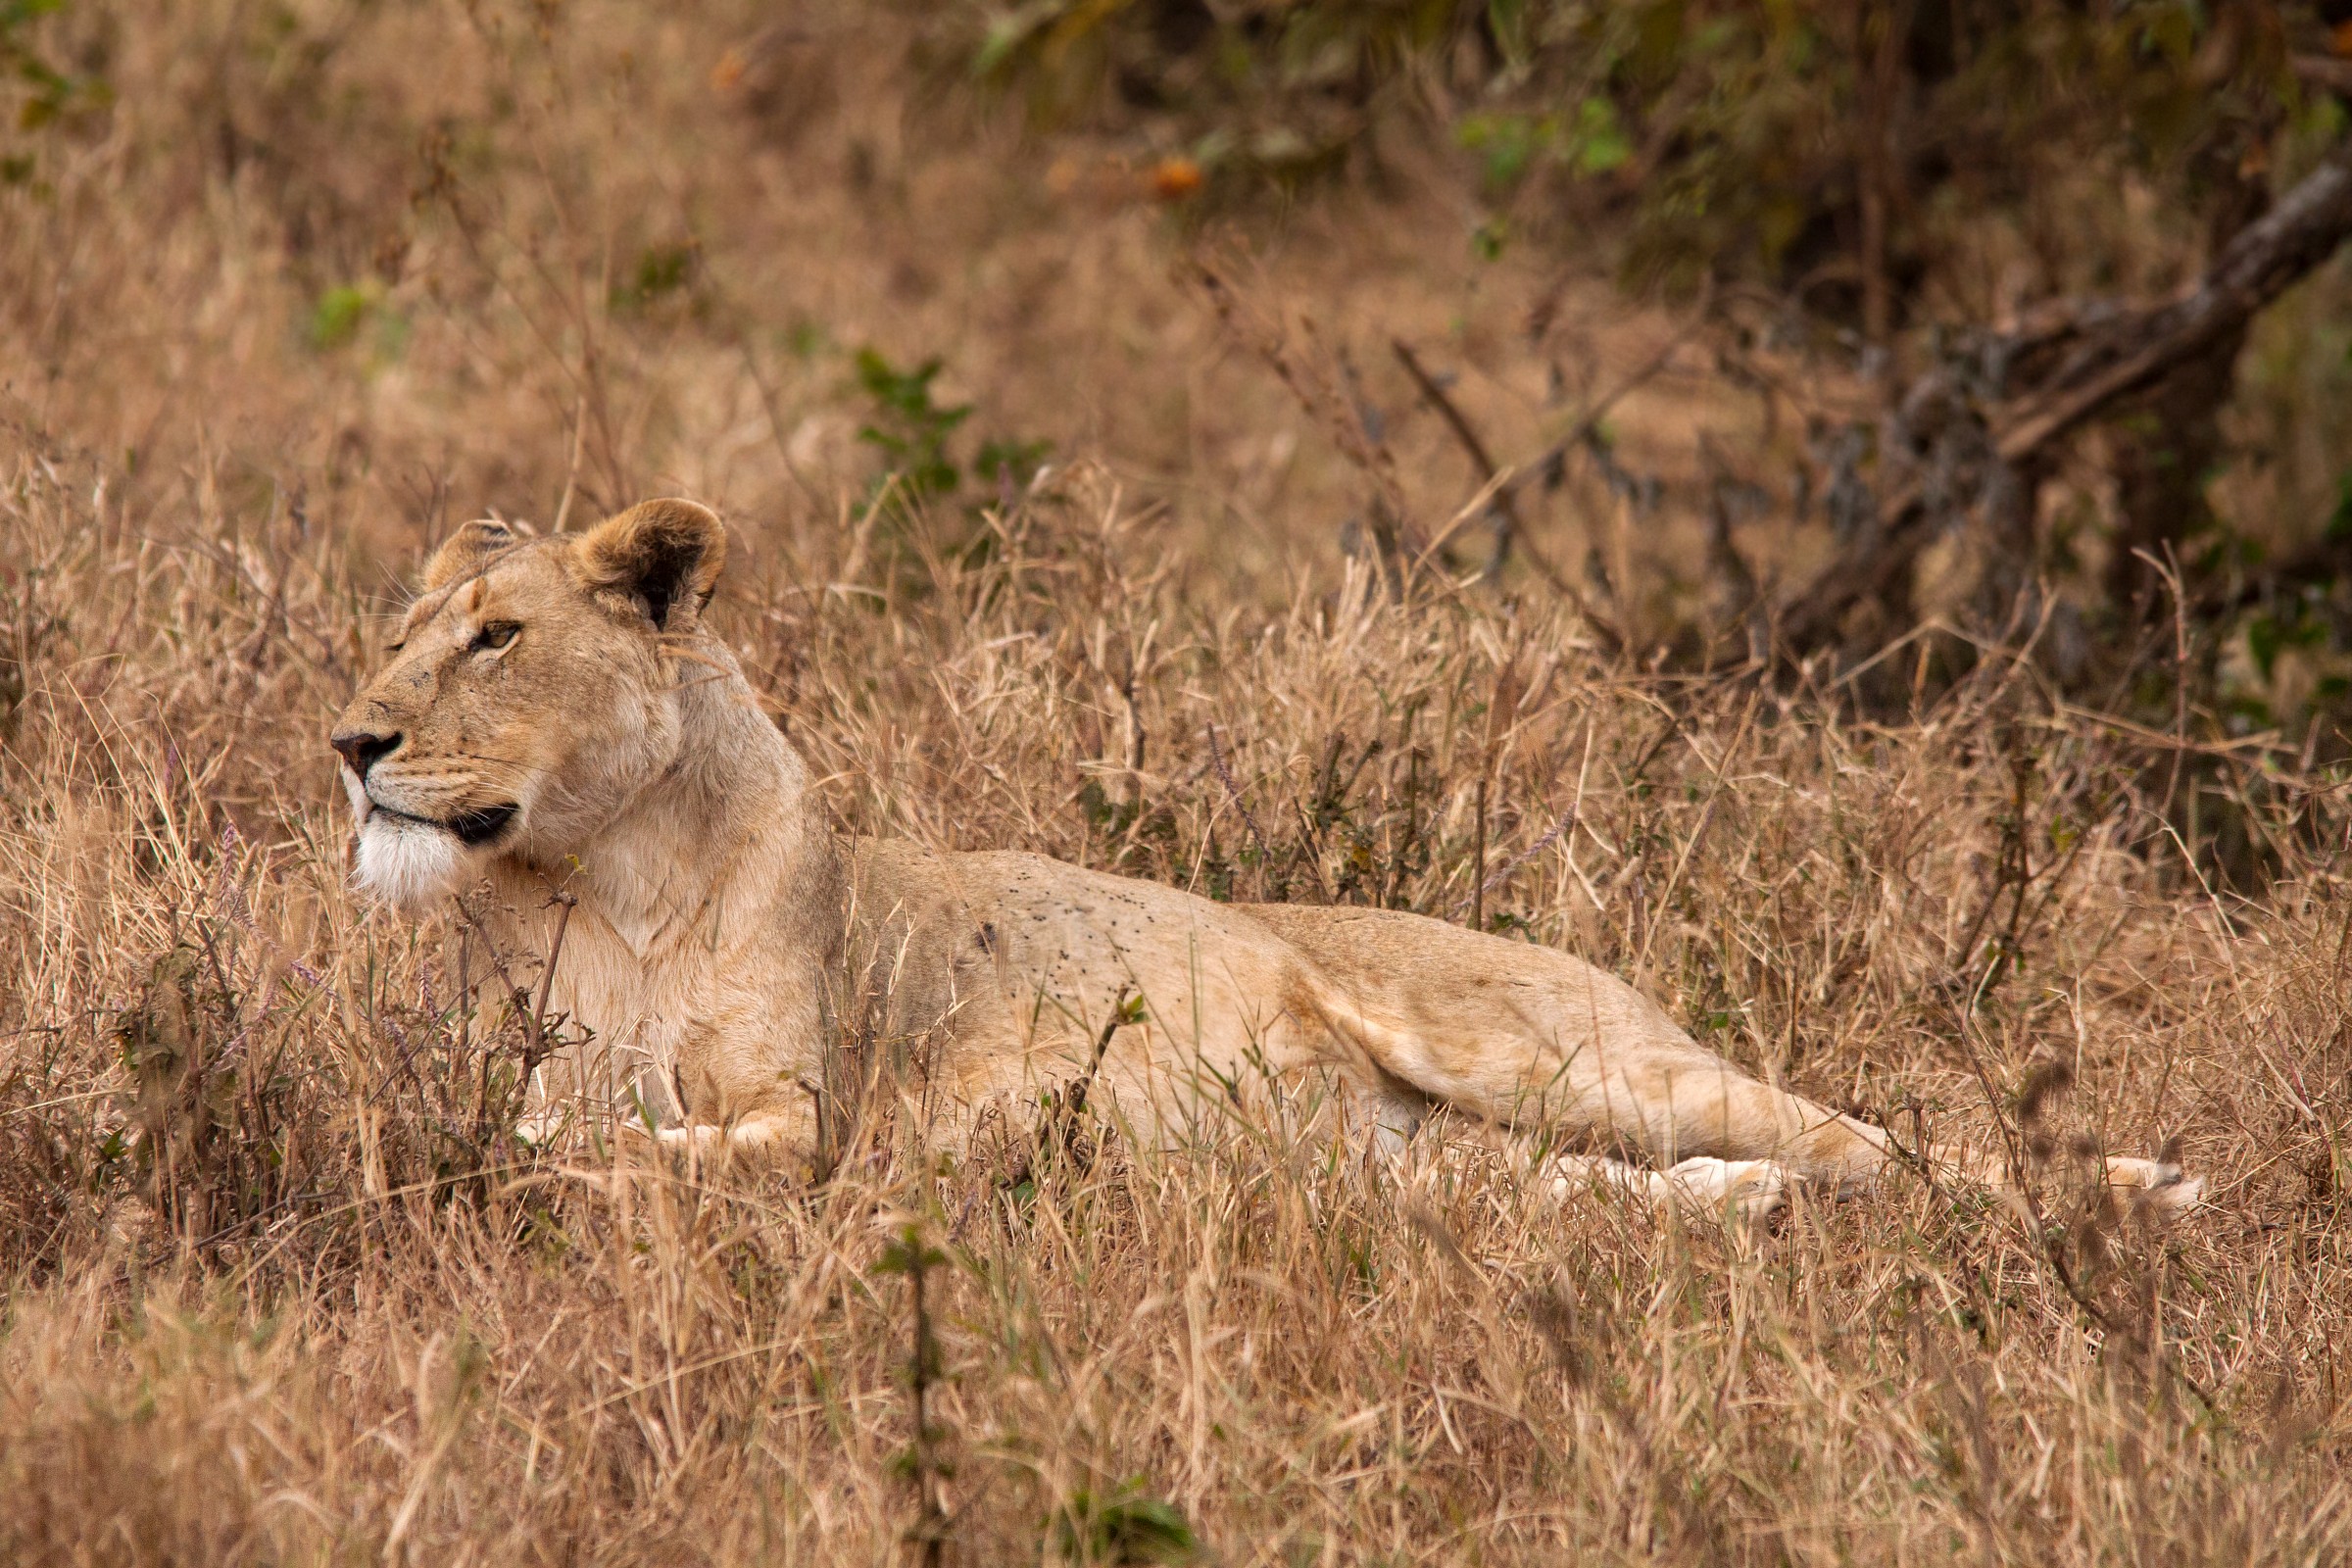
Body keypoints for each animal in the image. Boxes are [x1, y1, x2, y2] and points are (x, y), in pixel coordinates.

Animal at [329, 499, 2202, 1219]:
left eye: (494, 636)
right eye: (399, 632)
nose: (349, 745)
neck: (604, 880)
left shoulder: (818, 1118)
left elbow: (651, 1151)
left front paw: (566, 1174)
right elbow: (520, 1121)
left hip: (1561, 1054)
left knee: (1889, 1142)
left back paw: (2132, 1193)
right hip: (1435, 1175)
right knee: (1601, 1201)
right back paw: (1745, 1215)